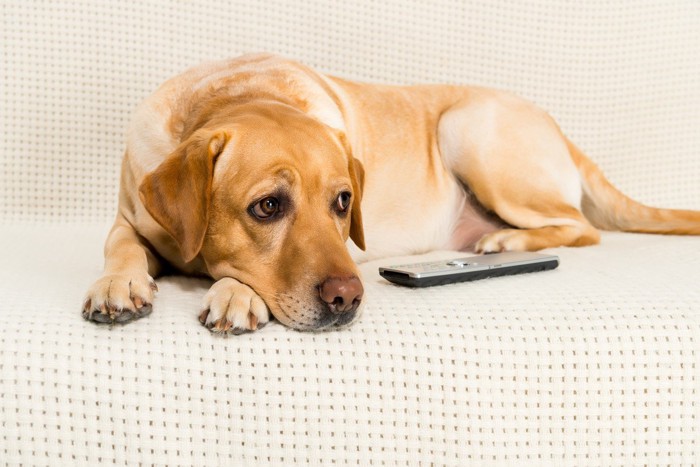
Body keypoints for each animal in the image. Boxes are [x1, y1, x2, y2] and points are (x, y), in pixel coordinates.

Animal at [83, 53, 700, 334]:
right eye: (267, 206)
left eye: (343, 202)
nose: (347, 298)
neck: (234, 95)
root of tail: (556, 126)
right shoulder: (128, 218)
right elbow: (120, 247)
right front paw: (118, 283)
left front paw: (235, 292)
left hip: (468, 128)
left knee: (583, 226)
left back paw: (507, 241)